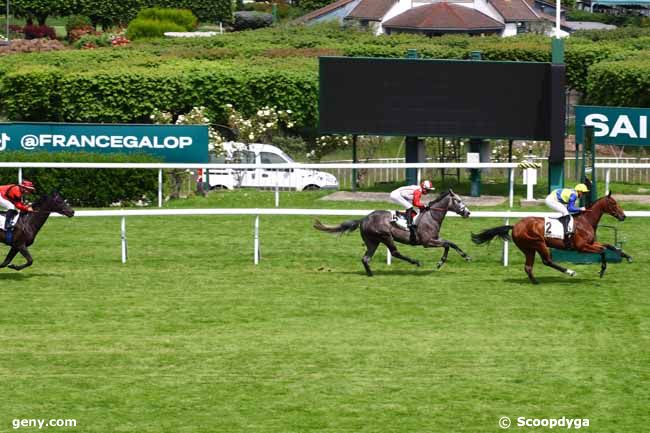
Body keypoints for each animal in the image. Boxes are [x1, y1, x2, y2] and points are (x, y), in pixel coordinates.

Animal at [314, 188, 470, 276]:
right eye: (458, 200)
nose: (467, 212)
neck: (431, 216)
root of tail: (364, 219)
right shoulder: (427, 242)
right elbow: (447, 245)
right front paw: (441, 262)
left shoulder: (436, 238)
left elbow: (451, 243)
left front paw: (465, 256)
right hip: (386, 236)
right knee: (395, 252)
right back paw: (416, 262)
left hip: (373, 242)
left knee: (366, 258)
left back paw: (370, 274)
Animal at [468, 192, 632, 284]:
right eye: (613, 203)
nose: (623, 216)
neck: (585, 221)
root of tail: (514, 226)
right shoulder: (582, 247)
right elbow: (603, 250)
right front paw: (602, 270)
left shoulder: (591, 242)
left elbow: (609, 246)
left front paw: (627, 256)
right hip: (539, 243)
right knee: (547, 261)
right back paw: (570, 272)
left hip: (528, 249)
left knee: (528, 266)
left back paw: (535, 281)